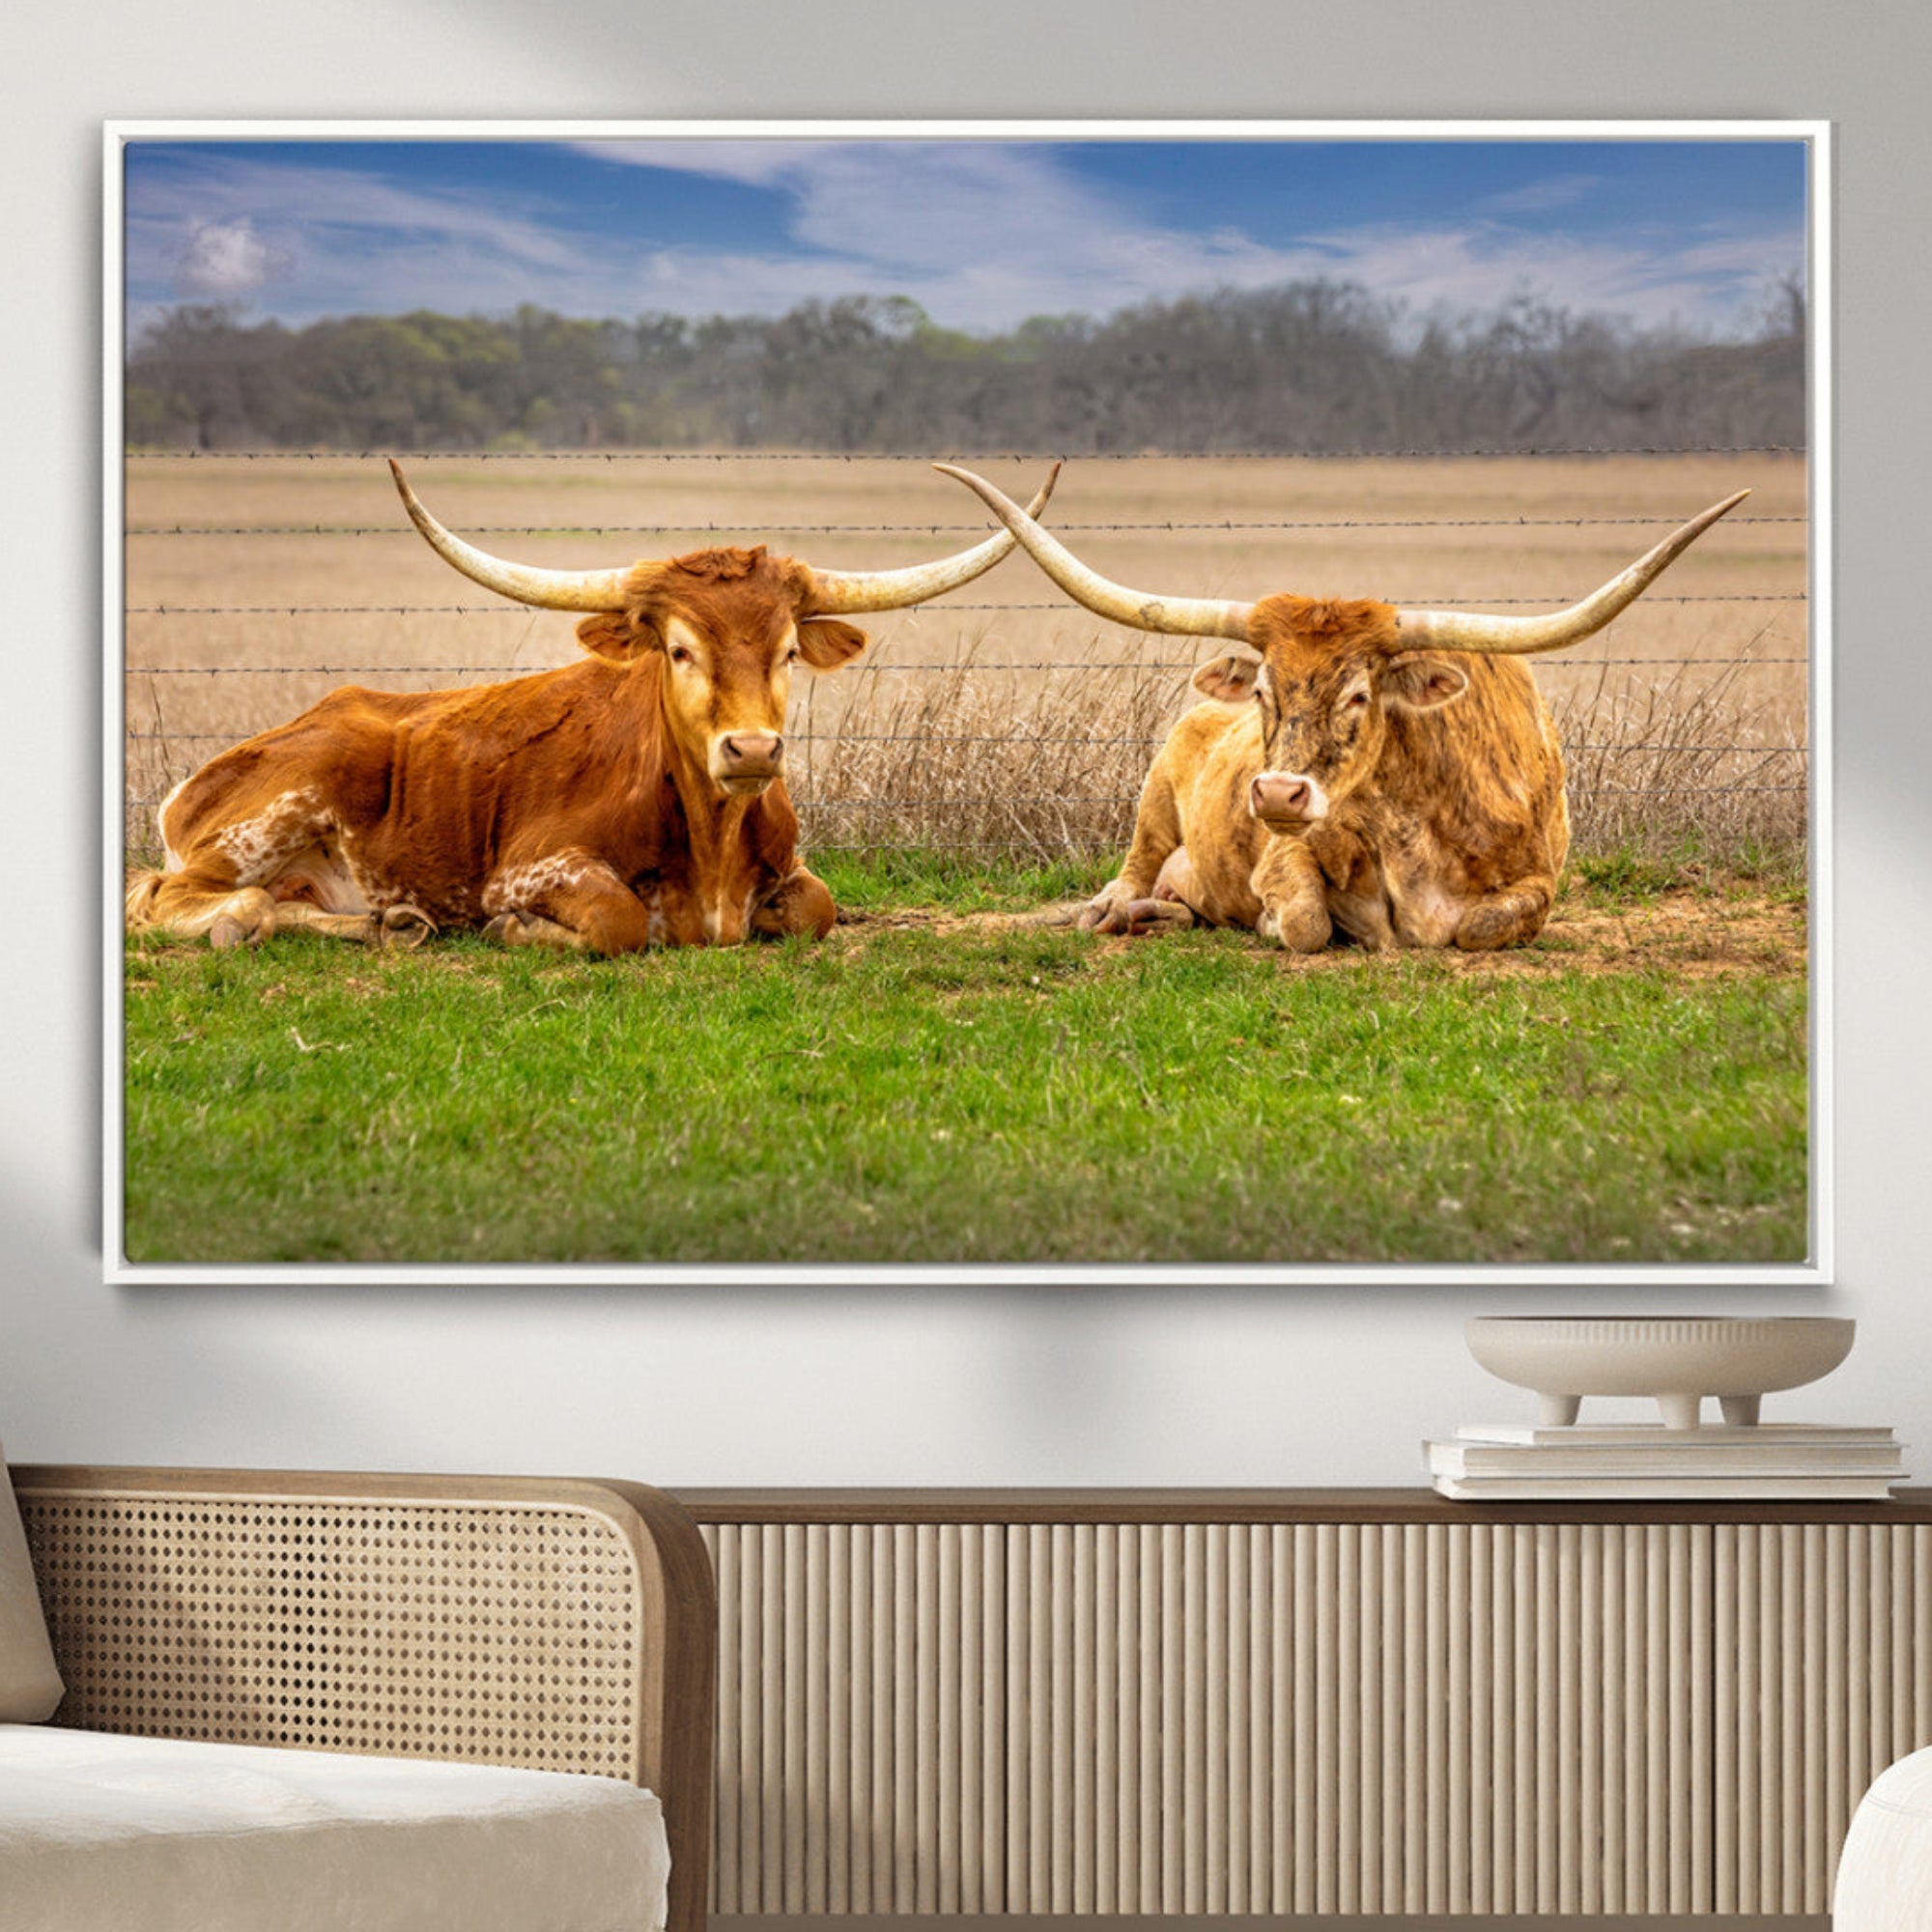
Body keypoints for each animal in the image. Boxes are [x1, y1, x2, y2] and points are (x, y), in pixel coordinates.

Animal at [125, 460, 1058, 953]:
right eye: (678, 649)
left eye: (789, 650)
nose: (753, 751)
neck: (711, 846)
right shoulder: (529, 866)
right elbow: (616, 920)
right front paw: (513, 933)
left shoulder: (794, 876)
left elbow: (814, 909)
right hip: (279, 807)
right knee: (177, 896)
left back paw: (390, 922)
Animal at [936, 463, 1747, 953]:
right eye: (1264, 689)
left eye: (1359, 693)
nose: (1275, 792)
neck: (1418, 823)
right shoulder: (1283, 851)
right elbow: (1304, 921)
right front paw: (1270, 921)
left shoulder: (1538, 883)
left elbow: (1481, 925)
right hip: (1153, 802)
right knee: (1131, 873)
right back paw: (1121, 911)